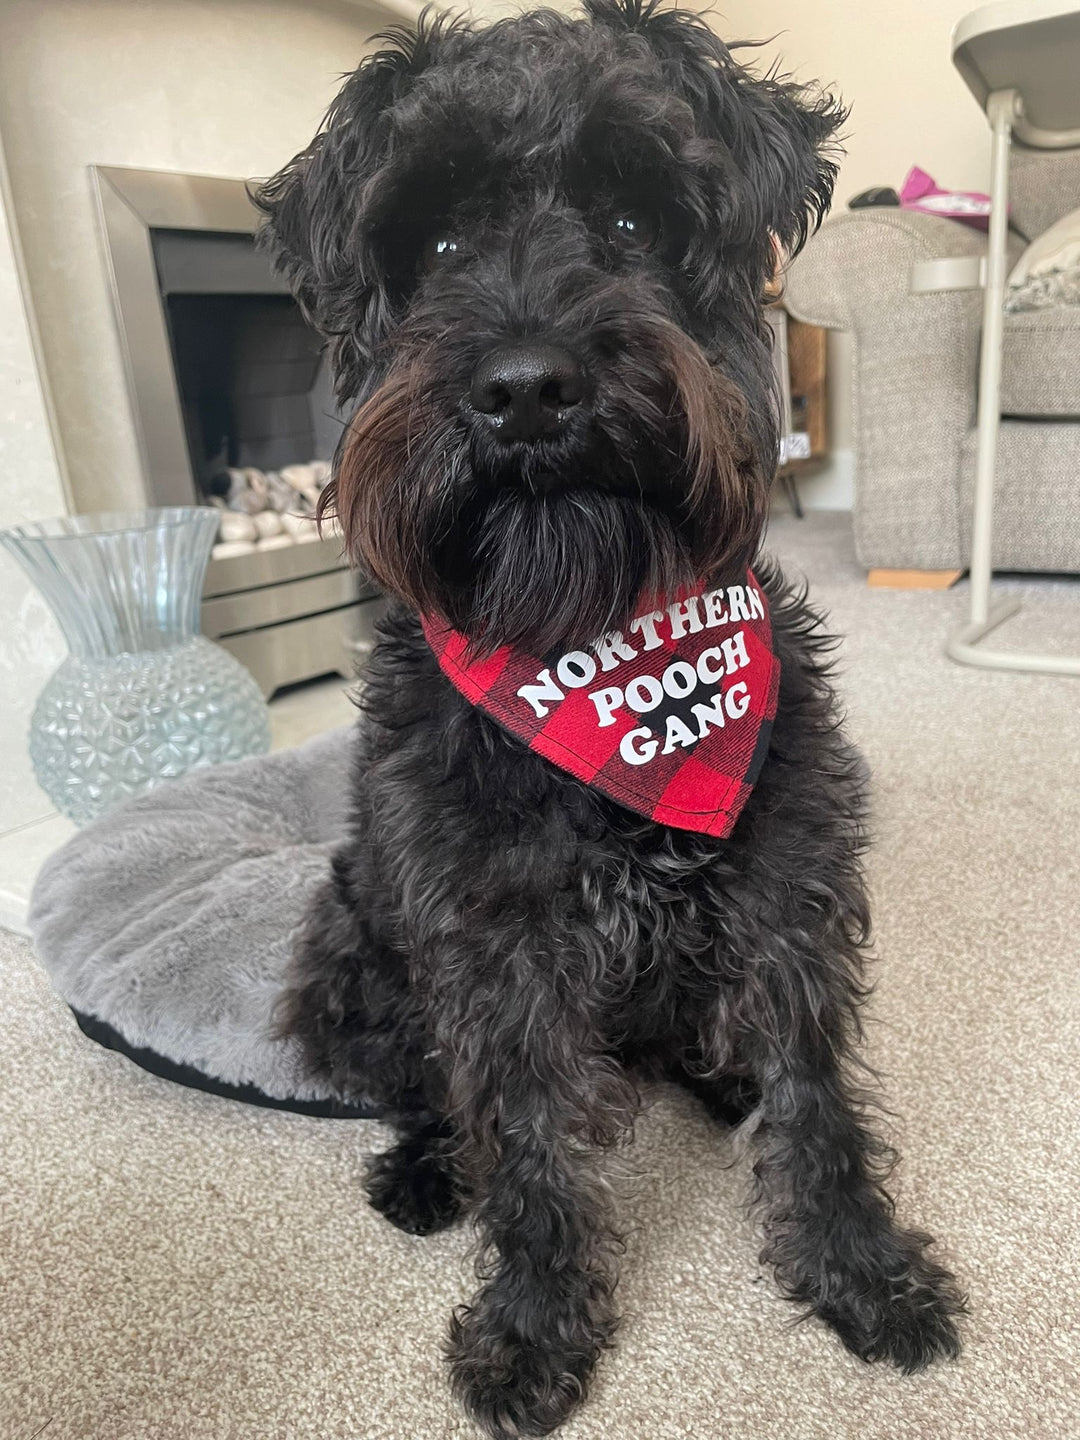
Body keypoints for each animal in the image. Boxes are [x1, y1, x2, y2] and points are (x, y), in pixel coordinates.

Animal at [260, 5, 961, 1434]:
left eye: (637, 219)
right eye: (435, 245)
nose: (528, 387)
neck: (594, 648)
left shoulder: (788, 889)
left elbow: (816, 1096)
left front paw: (862, 1271)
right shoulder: (494, 946)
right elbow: (523, 1137)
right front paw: (535, 1325)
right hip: (346, 959)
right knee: (433, 1098)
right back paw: (427, 1170)